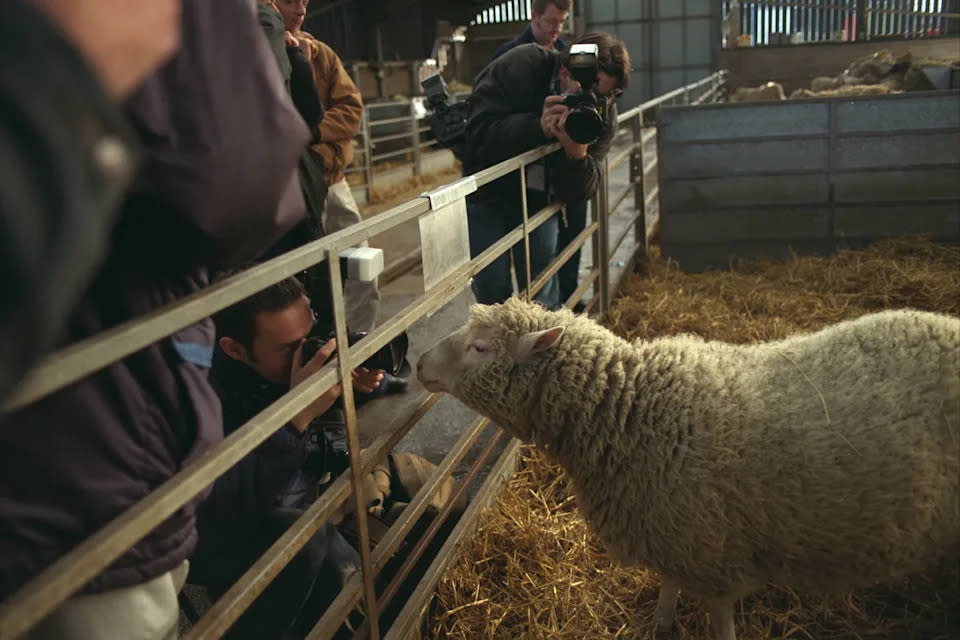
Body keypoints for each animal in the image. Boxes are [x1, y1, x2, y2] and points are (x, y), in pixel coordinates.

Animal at [416, 298, 960, 640]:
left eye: (481, 348)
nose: (418, 363)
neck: (631, 410)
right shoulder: (670, 530)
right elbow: (667, 583)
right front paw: (660, 621)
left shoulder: (710, 551)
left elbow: (719, 621)